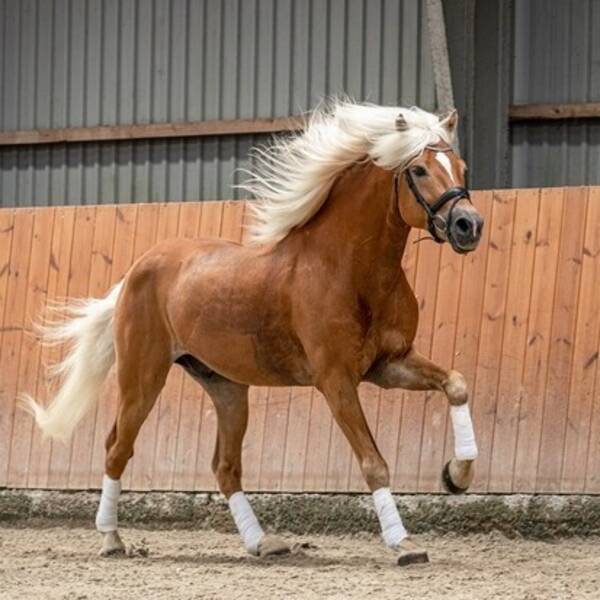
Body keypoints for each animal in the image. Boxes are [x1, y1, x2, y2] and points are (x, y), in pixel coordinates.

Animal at [22, 99, 482, 568]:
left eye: (462, 167)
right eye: (420, 170)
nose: (469, 225)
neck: (348, 270)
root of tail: (138, 269)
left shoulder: (390, 365)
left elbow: (456, 384)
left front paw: (456, 475)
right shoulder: (336, 381)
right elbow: (373, 461)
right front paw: (403, 543)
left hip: (226, 388)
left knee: (225, 466)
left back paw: (263, 543)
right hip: (143, 378)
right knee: (118, 447)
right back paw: (111, 539)